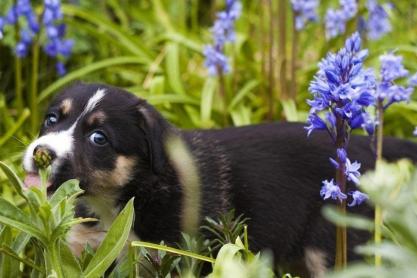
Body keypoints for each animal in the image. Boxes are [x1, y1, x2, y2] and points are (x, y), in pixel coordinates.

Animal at [22, 82, 416, 276]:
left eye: (98, 138)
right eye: (52, 119)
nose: (41, 153)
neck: (121, 200)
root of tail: (360, 148)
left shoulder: (178, 257)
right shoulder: (85, 253)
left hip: (334, 245)